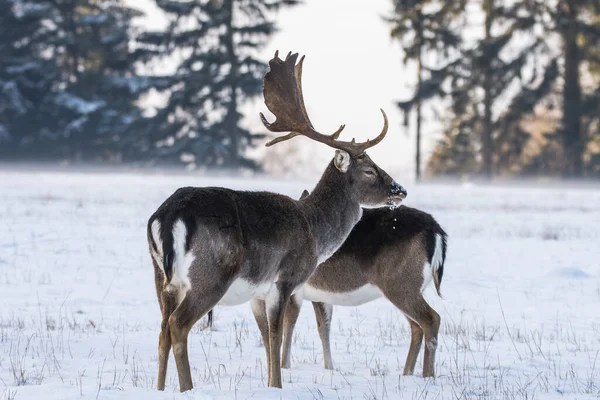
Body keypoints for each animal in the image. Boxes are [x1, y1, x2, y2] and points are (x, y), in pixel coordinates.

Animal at [146, 51, 408, 392]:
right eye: (369, 170)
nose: (400, 190)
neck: (315, 230)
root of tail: (167, 216)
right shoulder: (285, 279)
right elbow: (277, 334)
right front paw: (278, 385)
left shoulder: (257, 293)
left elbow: (266, 338)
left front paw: (272, 382)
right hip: (210, 273)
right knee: (178, 325)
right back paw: (188, 388)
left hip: (161, 277)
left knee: (162, 328)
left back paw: (159, 387)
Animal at [248, 191, 446, 378]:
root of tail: (437, 232)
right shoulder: (318, 296)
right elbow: (323, 327)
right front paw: (329, 368)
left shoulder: (293, 291)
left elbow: (288, 326)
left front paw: (284, 366)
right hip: (406, 287)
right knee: (416, 326)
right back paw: (407, 373)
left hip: (401, 283)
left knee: (431, 319)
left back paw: (428, 376)